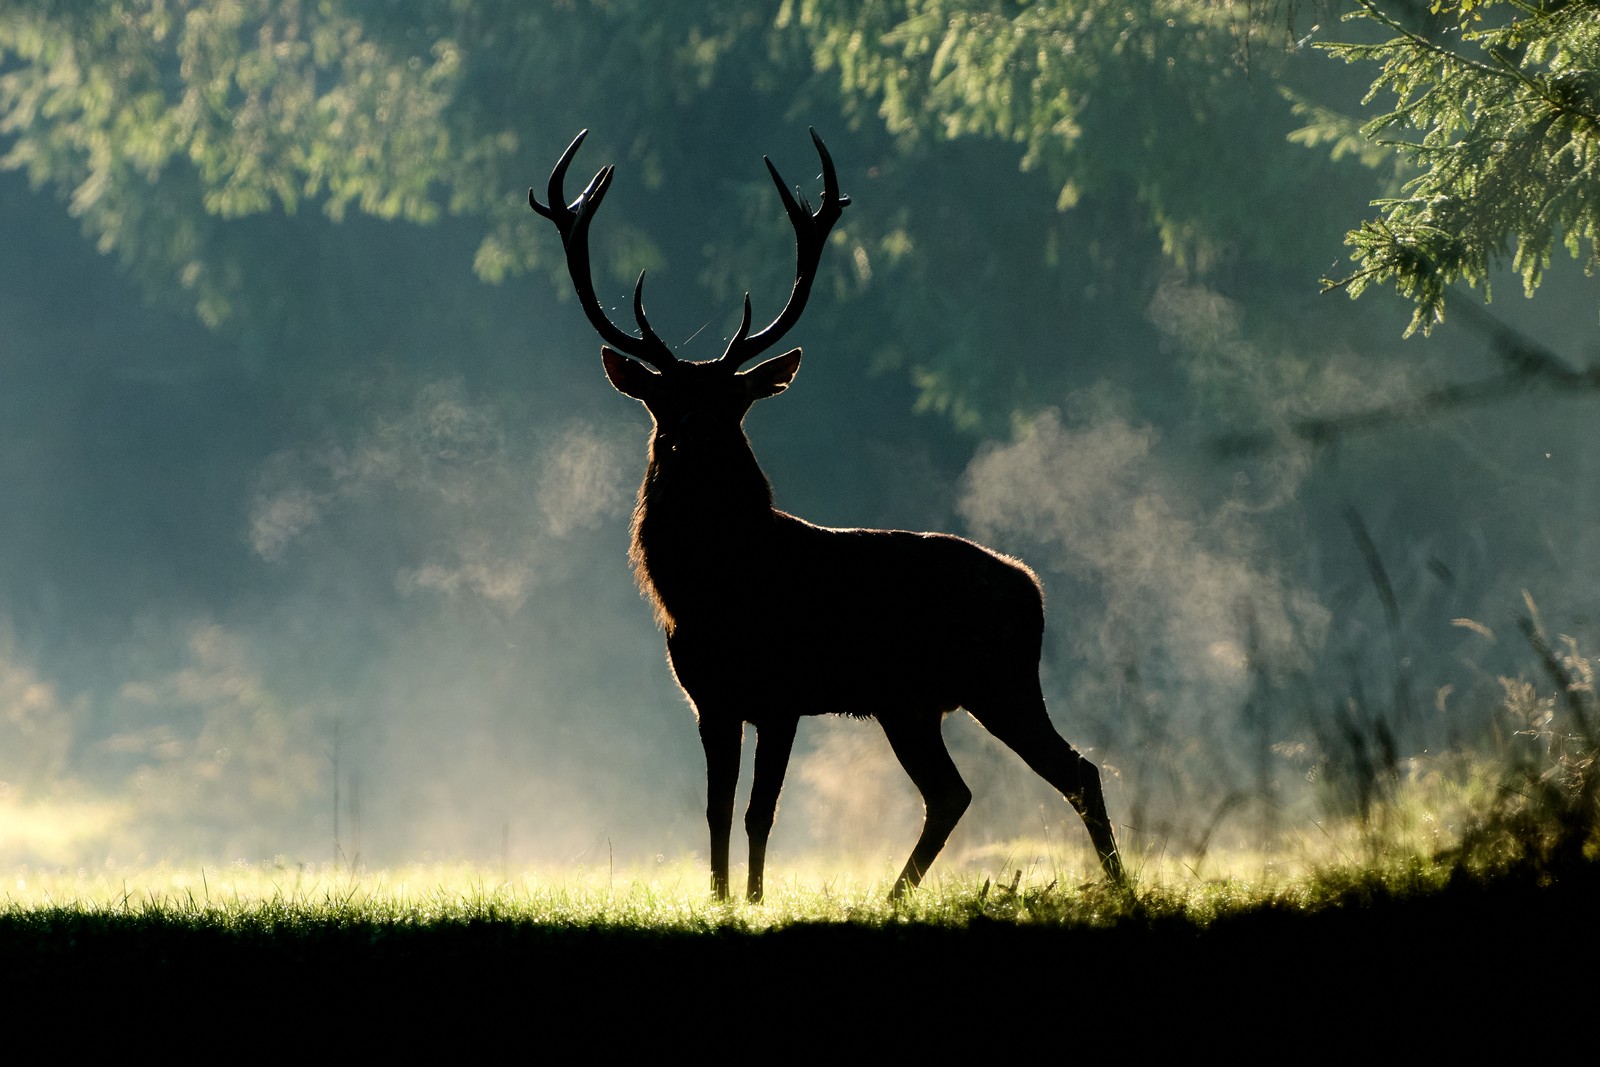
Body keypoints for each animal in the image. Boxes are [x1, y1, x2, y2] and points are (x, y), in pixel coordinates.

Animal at [530, 129, 1125, 901]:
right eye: (665, 401)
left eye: (733, 402)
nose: (690, 434)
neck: (707, 593)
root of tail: (1032, 587)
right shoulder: (709, 698)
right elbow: (716, 809)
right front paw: (721, 899)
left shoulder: (781, 694)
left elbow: (760, 811)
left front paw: (755, 900)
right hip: (913, 701)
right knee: (957, 791)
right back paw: (897, 895)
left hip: (998, 681)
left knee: (1073, 770)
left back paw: (1117, 887)